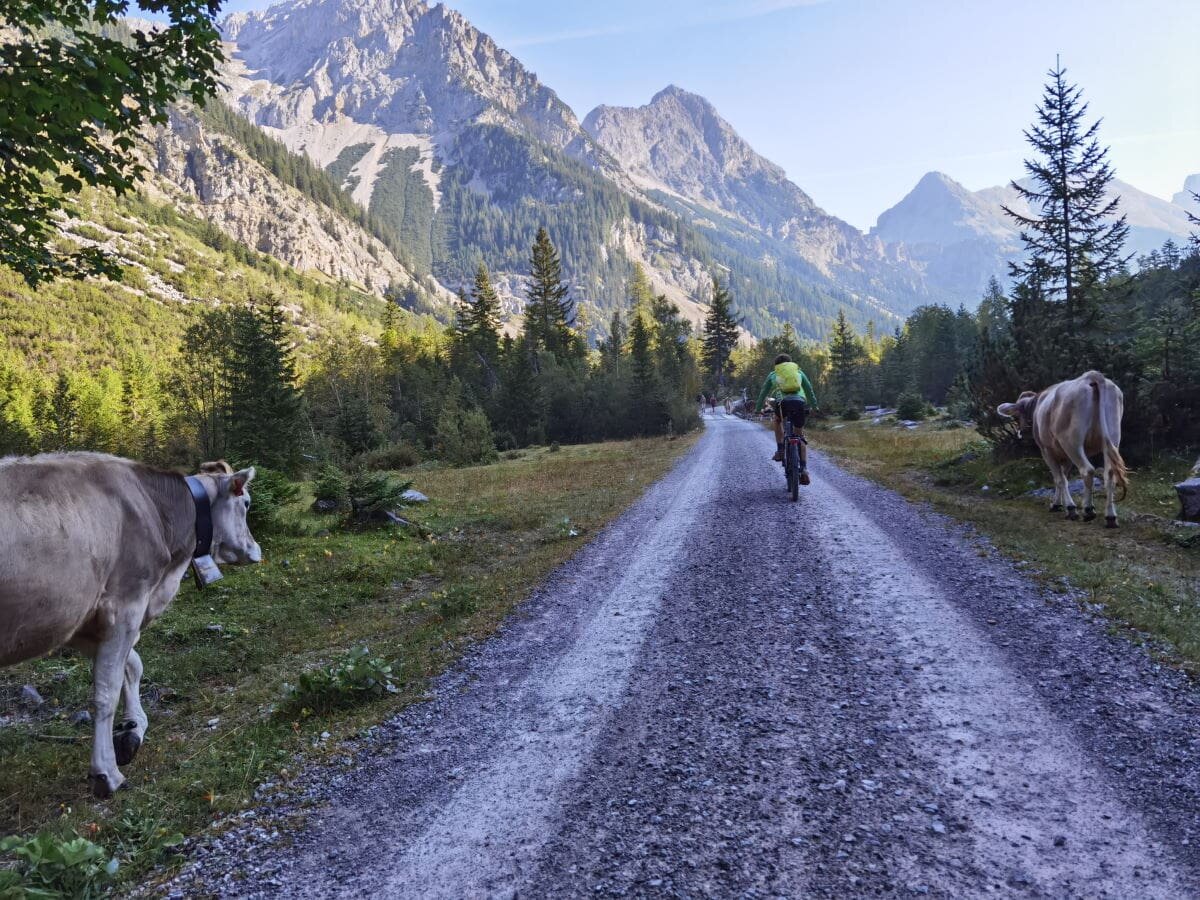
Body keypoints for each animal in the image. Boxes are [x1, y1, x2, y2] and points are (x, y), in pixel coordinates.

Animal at [0, 453, 261, 801]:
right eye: (246, 503)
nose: (256, 550)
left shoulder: (79, 620)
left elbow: (133, 665)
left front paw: (132, 730)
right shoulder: (126, 603)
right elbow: (105, 693)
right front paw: (106, 772)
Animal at [998, 369, 1128, 528]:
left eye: (1016, 417)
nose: (1021, 434)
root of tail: (1091, 376)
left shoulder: (1046, 450)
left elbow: (1059, 479)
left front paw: (1069, 508)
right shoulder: (1065, 456)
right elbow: (1063, 476)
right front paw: (1058, 504)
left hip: (1071, 442)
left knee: (1087, 470)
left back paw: (1088, 510)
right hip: (1113, 438)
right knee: (1109, 474)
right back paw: (1110, 517)